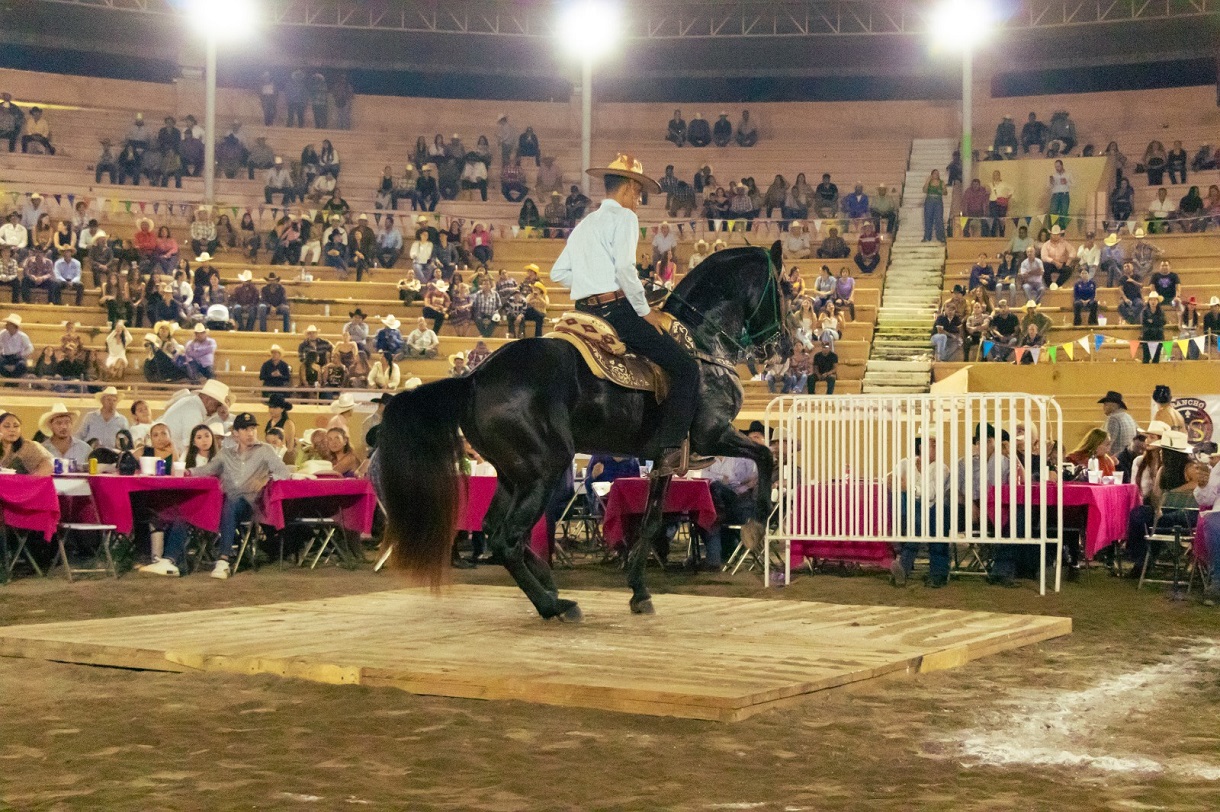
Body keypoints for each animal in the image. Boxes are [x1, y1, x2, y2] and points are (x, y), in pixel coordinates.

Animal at [375, 241, 785, 619]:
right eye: (780, 290)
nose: (778, 345)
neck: (702, 342)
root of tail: (474, 378)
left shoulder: (665, 460)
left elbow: (651, 521)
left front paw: (639, 592)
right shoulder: (711, 435)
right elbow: (766, 455)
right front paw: (758, 524)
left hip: (512, 474)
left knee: (494, 529)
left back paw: (549, 585)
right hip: (543, 469)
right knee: (506, 538)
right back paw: (554, 605)